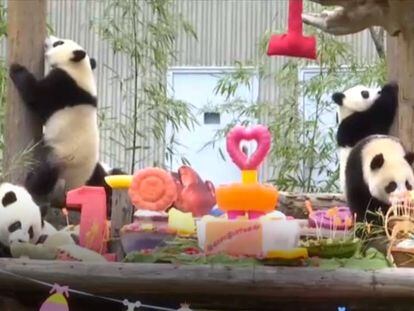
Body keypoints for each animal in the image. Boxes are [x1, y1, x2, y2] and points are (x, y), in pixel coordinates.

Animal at [9, 35, 119, 207]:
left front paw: (16, 68)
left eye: (59, 43)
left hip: (62, 158)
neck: (80, 69)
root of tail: (71, 191)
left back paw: (30, 183)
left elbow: (35, 94)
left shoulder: (63, 86)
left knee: (46, 173)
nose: (48, 38)